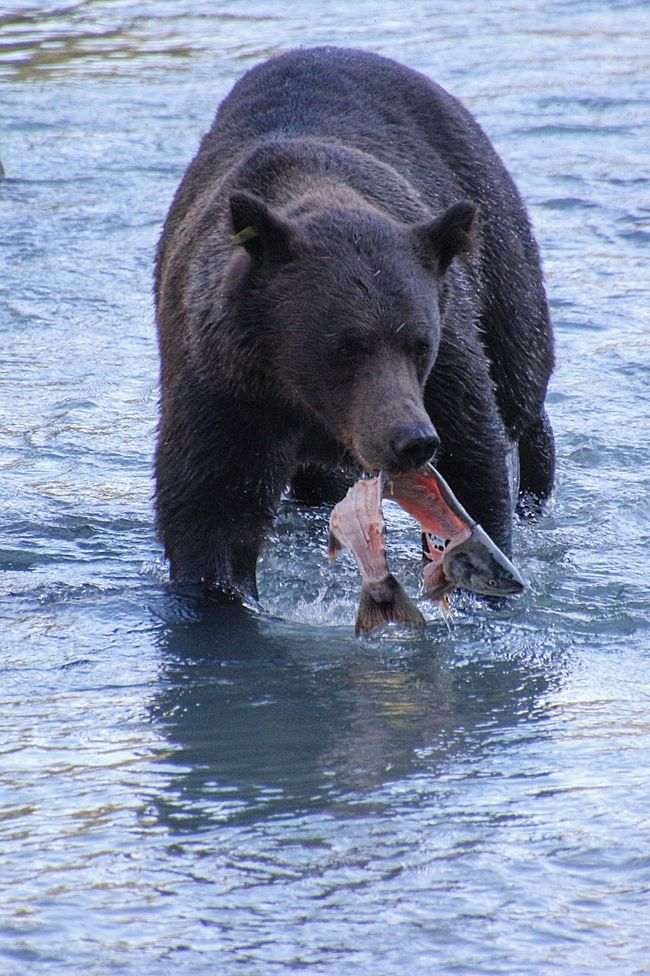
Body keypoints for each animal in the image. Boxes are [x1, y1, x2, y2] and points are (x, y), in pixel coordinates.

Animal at [152, 49, 552, 608]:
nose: (412, 440)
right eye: (345, 346)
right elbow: (212, 499)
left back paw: (535, 492)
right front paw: (222, 592)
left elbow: (474, 454)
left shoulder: (447, 356)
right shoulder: (225, 379)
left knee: (519, 377)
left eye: (419, 344)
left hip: (495, 241)